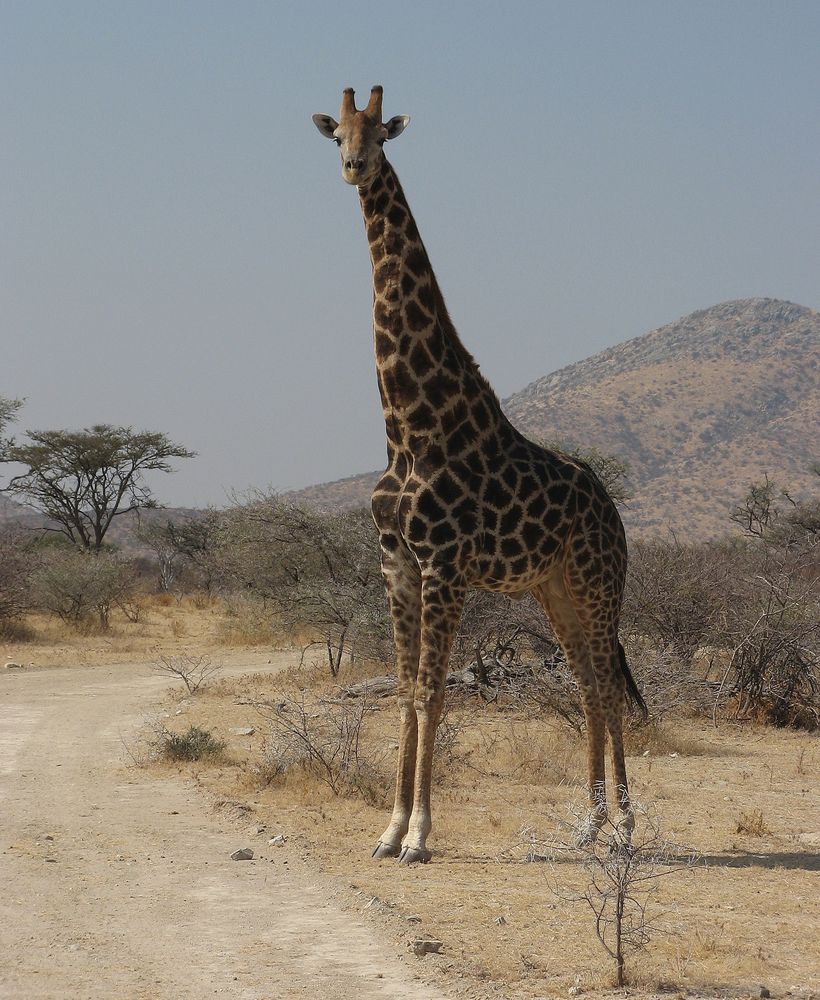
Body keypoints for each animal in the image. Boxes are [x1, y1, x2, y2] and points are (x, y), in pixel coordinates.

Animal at [314, 88, 648, 868]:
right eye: (335, 133)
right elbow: (405, 690)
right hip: (554, 588)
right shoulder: (398, 562)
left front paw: (419, 835)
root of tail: (612, 508)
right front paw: (388, 830)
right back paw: (590, 825)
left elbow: (433, 693)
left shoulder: (445, 564)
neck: (409, 425)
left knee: (608, 682)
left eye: (380, 134)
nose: (353, 167)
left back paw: (623, 825)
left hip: (598, 580)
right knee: (589, 685)